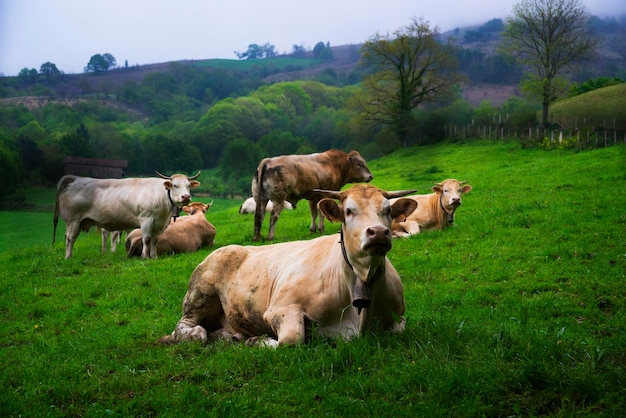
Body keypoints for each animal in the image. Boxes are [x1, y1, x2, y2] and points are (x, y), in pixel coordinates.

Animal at [158, 185, 416, 348]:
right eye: (348, 211)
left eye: (388, 210)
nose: (378, 232)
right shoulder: (281, 308)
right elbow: (292, 340)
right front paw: (257, 340)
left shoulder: (399, 315)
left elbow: (400, 329)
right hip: (200, 293)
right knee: (186, 327)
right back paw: (200, 334)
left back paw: (226, 336)